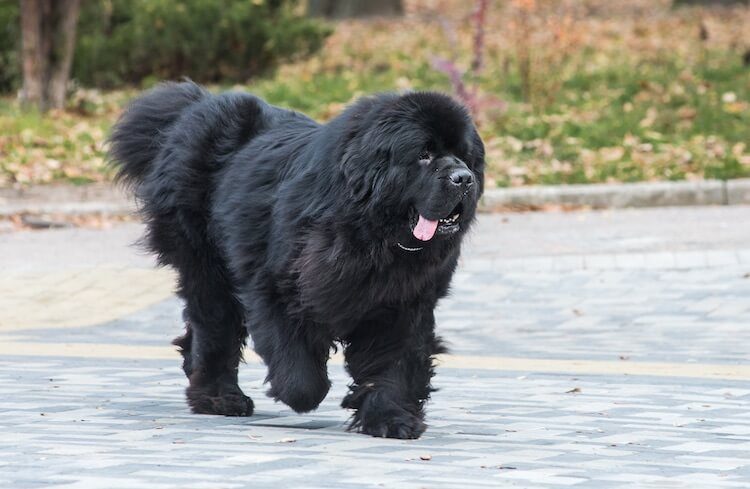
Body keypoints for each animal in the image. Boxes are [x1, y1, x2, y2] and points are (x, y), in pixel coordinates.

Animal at [111, 81, 488, 438]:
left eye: (466, 157)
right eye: (424, 154)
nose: (464, 178)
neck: (374, 234)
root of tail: (195, 106)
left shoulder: (404, 303)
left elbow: (394, 363)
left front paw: (390, 419)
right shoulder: (276, 286)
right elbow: (299, 369)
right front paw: (301, 394)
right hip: (205, 265)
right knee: (215, 327)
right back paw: (220, 398)